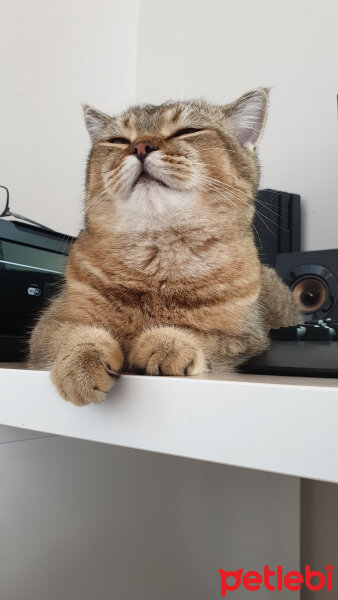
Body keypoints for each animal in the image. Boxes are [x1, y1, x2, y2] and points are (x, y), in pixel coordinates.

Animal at [28, 86, 298, 406]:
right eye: (118, 140)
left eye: (187, 131)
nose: (140, 146)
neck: (158, 253)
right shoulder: (49, 323)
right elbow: (74, 333)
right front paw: (80, 362)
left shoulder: (250, 339)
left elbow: (204, 335)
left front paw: (169, 341)